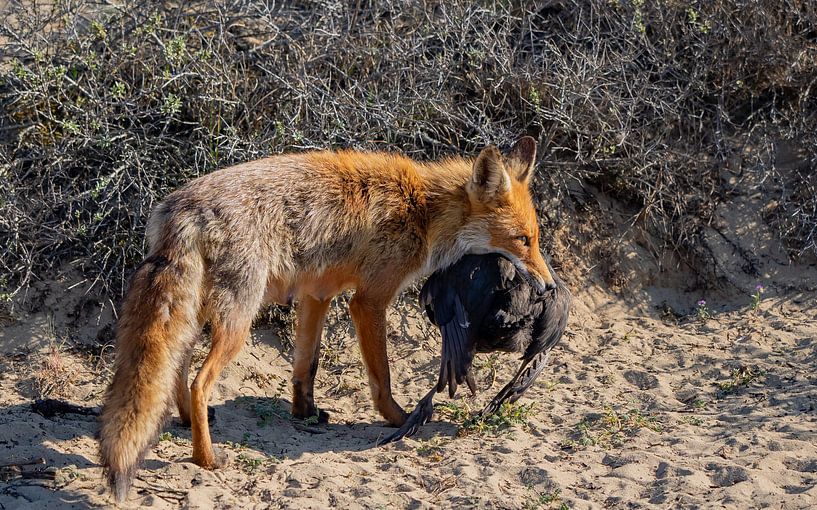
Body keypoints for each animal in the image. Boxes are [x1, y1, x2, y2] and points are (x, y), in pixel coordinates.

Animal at [98, 136, 556, 502]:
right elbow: (382, 377)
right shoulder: (368, 301)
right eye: (523, 240)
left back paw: (189, 422)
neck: (422, 210)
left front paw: (306, 412)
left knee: (176, 372)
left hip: (197, 317)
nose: (551, 288)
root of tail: (183, 210)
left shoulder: (317, 294)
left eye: (535, 239)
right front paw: (400, 419)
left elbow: (307, 365)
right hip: (239, 321)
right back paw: (206, 458)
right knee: (198, 381)